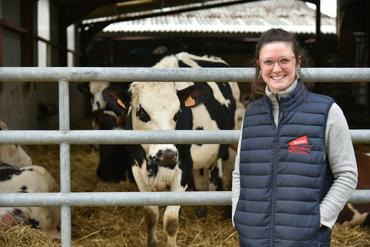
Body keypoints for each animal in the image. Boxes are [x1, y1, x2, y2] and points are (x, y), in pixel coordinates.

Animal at [101, 51, 243, 246]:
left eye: (178, 113)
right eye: (142, 112)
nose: (167, 154)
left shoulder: (183, 168)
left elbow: (170, 220)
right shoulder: (137, 169)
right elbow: (151, 214)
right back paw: (201, 211)